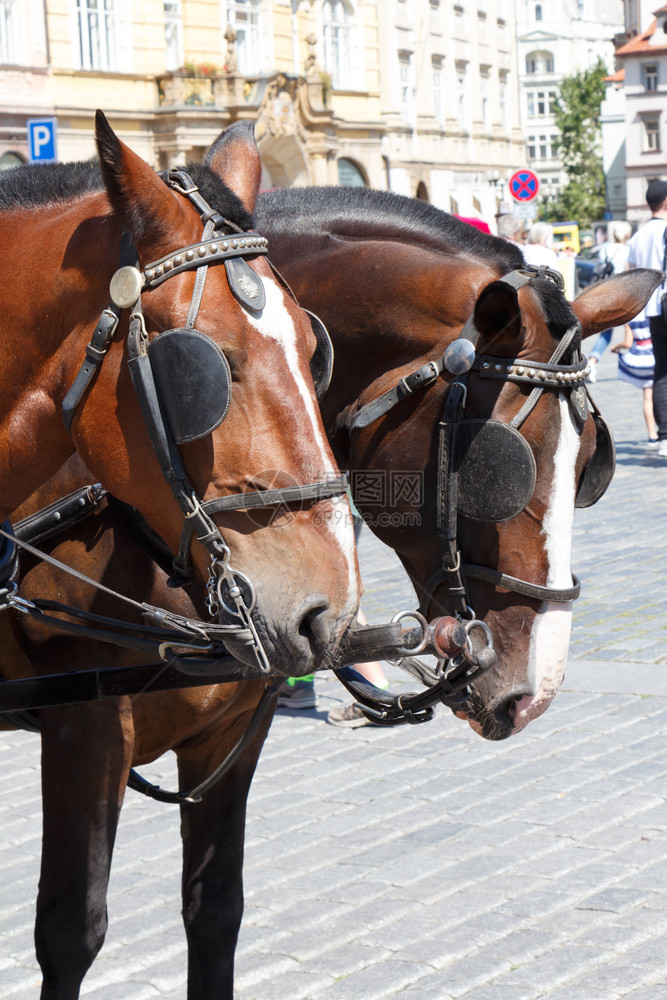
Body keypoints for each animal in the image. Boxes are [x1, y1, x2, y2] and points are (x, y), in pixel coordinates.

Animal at [0, 184, 656, 996]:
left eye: (592, 463)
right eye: (498, 462)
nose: (533, 690)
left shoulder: (233, 727)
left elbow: (214, 911)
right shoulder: (84, 733)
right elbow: (70, 933)